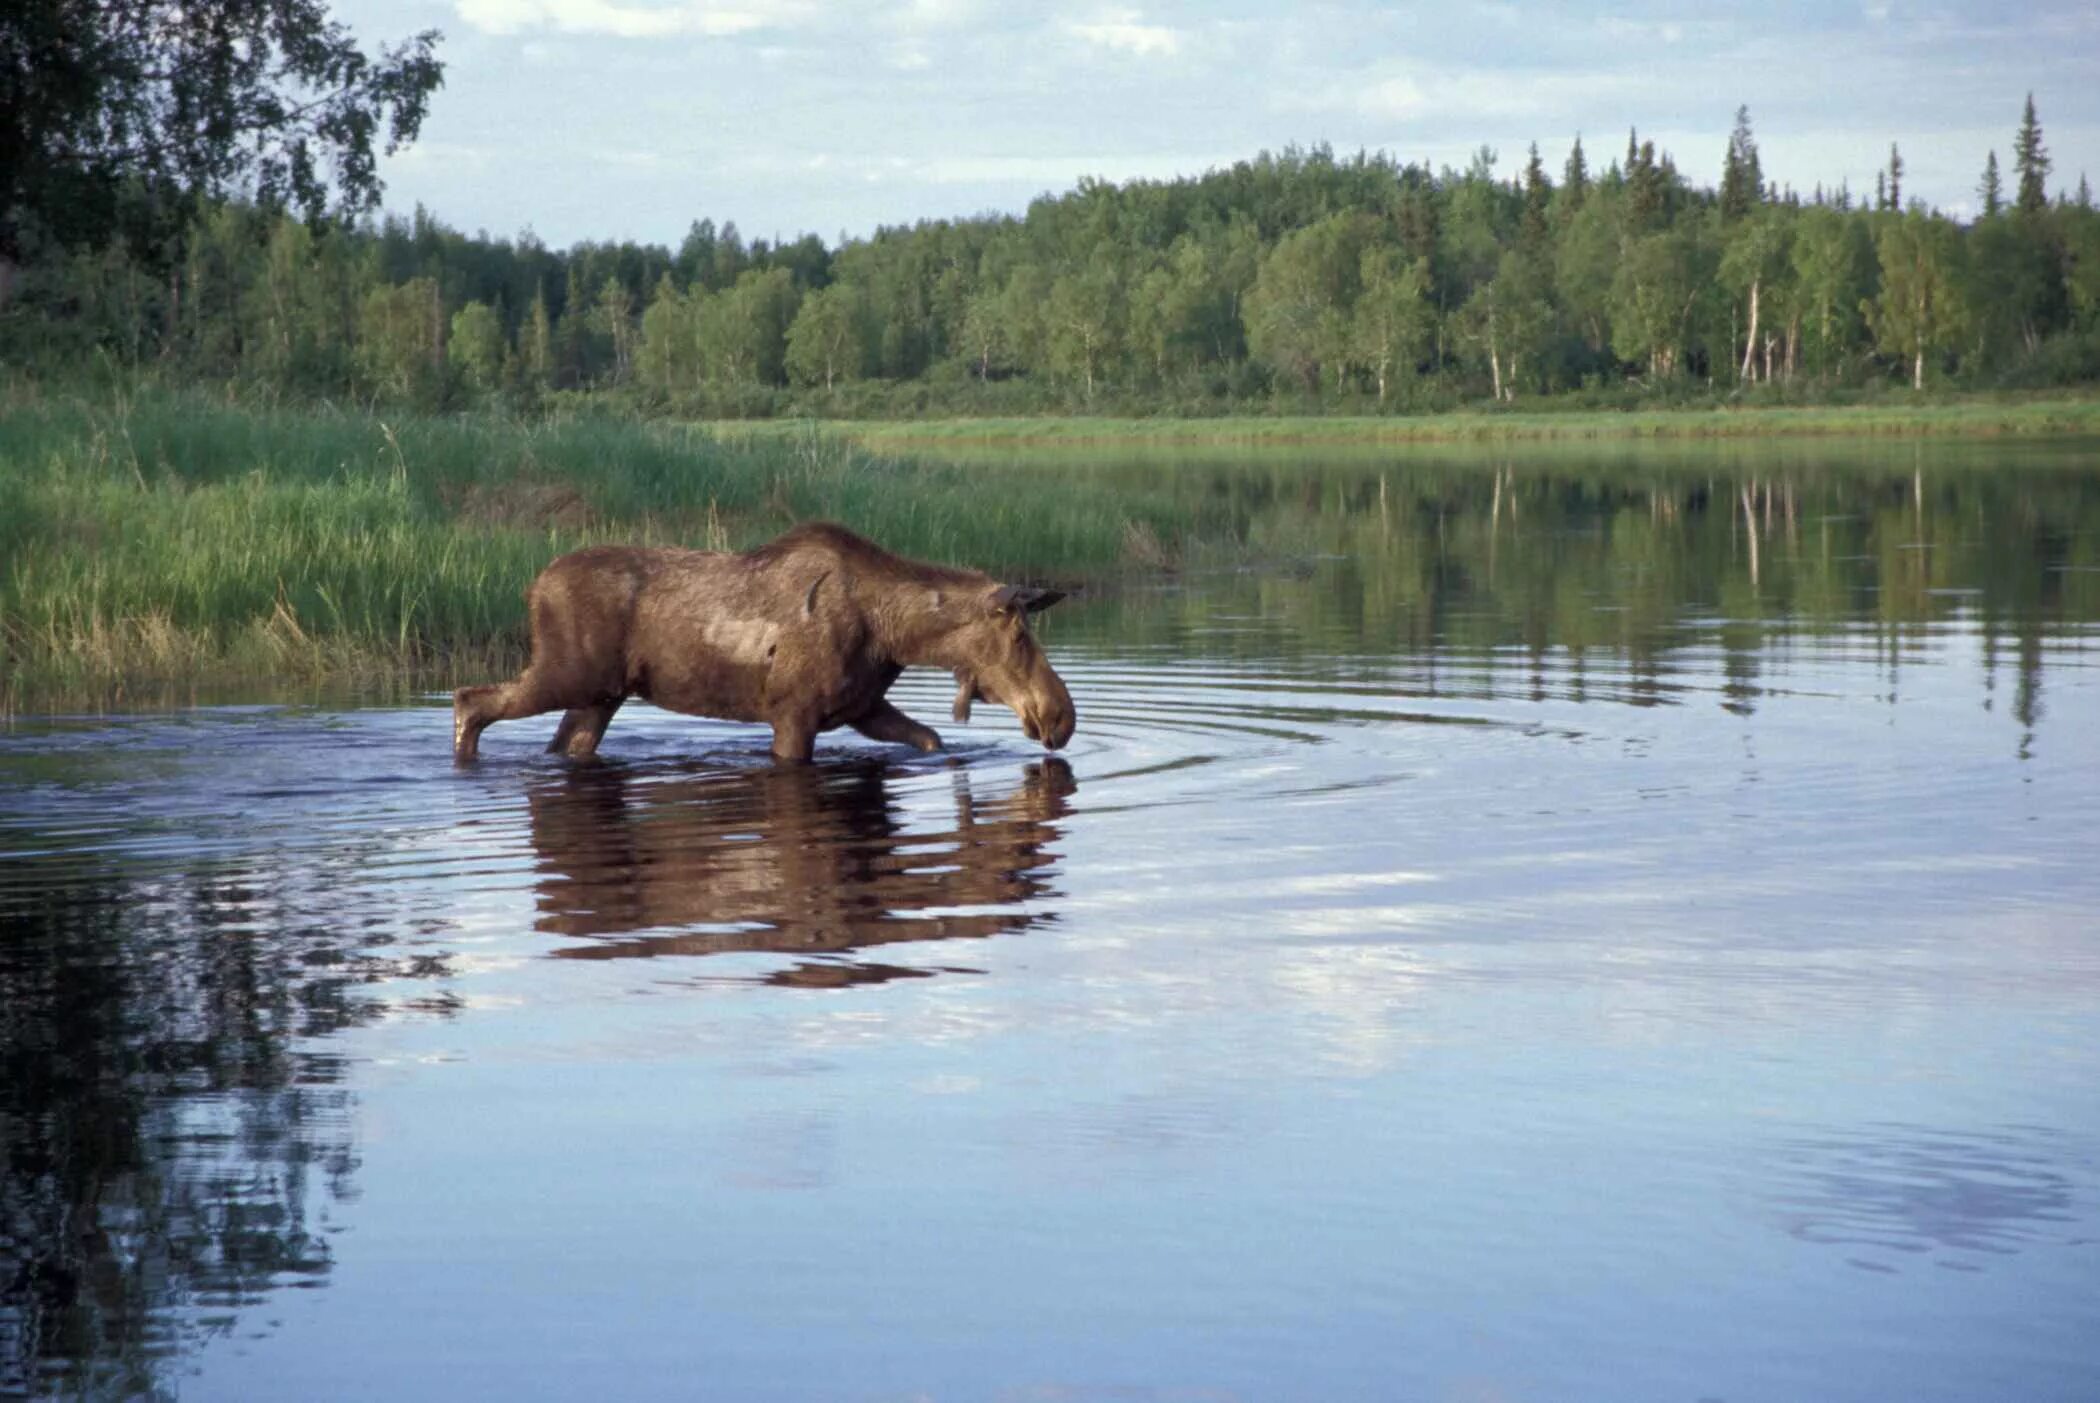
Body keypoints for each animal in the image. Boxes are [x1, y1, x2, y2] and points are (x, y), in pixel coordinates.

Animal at [453, 520, 1075, 760]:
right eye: (1021, 636)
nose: (1061, 715)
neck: (895, 636)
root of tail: (534, 586)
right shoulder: (793, 712)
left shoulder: (862, 706)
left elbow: (930, 741)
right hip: (566, 673)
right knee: (469, 699)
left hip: (599, 697)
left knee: (561, 745)